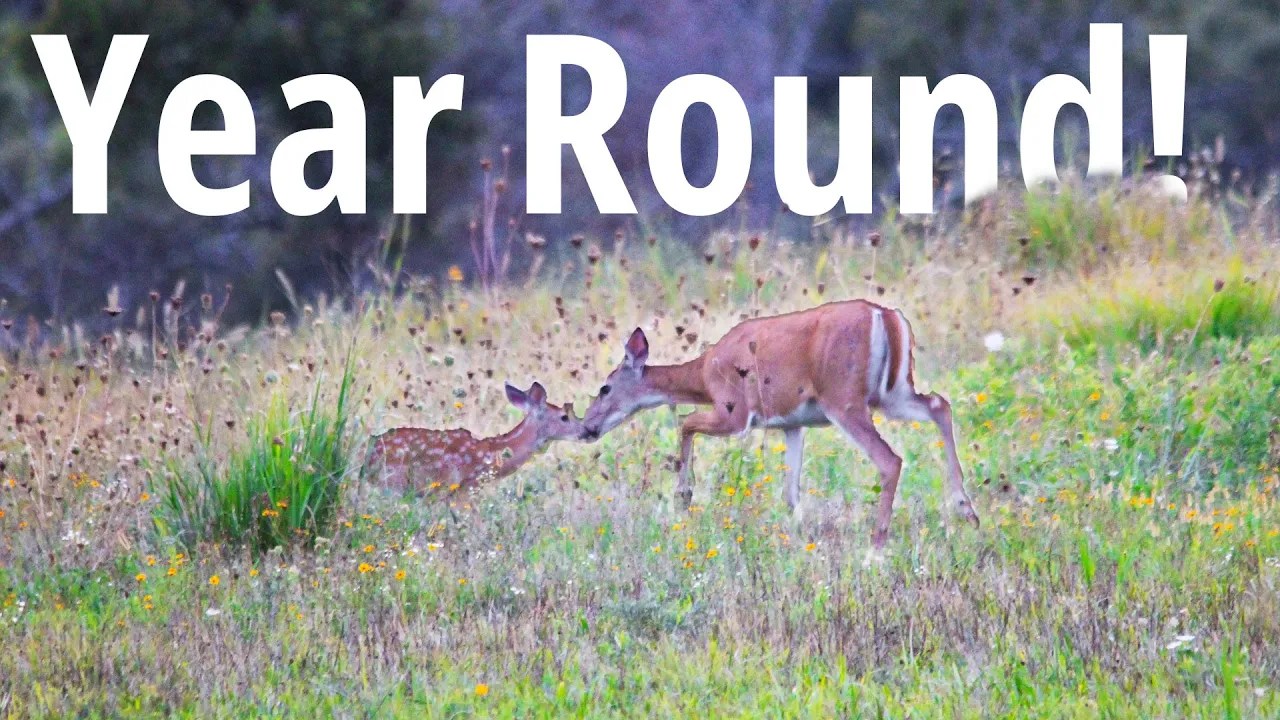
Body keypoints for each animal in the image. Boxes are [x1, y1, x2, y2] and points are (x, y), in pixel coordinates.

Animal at [578, 300, 979, 551]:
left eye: (605, 387)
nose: (587, 427)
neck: (704, 374)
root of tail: (886, 315)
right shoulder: (792, 424)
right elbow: (790, 492)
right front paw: (796, 538)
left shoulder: (735, 411)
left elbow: (686, 424)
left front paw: (684, 494)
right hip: (892, 393)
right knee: (940, 404)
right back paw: (966, 510)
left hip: (844, 398)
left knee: (890, 459)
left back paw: (876, 545)